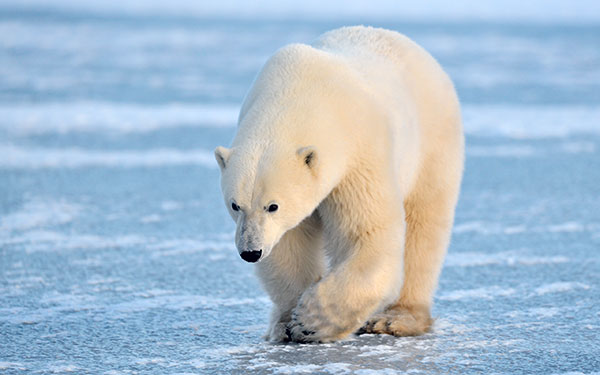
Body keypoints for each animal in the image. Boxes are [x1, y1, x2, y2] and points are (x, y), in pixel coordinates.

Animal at [216, 25, 464, 344]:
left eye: (273, 206)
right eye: (235, 205)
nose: (250, 252)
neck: (301, 92)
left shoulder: (358, 154)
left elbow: (367, 234)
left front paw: (311, 320)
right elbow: (288, 245)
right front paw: (288, 323)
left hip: (432, 144)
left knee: (424, 227)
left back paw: (396, 318)